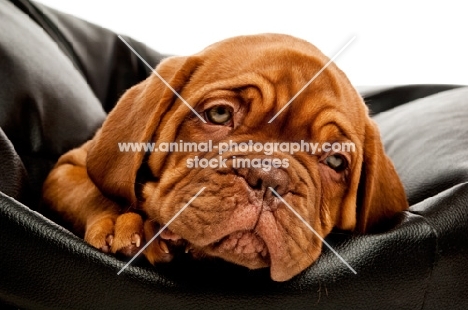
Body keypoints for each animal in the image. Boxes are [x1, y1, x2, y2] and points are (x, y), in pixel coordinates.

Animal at [44, 33, 410, 280]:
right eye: (219, 114)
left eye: (335, 162)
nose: (268, 177)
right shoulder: (68, 167)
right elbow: (92, 190)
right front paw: (121, 218)